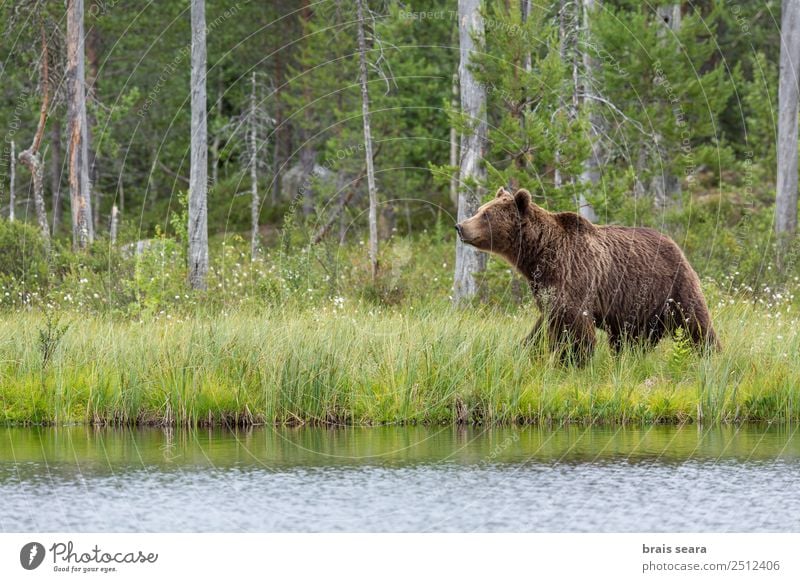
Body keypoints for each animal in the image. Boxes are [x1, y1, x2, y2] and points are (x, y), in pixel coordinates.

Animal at [454, 187, 720, 364]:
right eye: (479, 209)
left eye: (486, 215)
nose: (460, 226)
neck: (539, 253)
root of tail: (674, 243)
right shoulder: (546, 287)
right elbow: (544, 325)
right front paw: (529, 350)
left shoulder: (574, 274)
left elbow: (575, 326)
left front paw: (572, 360)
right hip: (636, 305)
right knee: (632, 338)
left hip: (672, 285)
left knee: (695, 322)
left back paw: (710, 354)